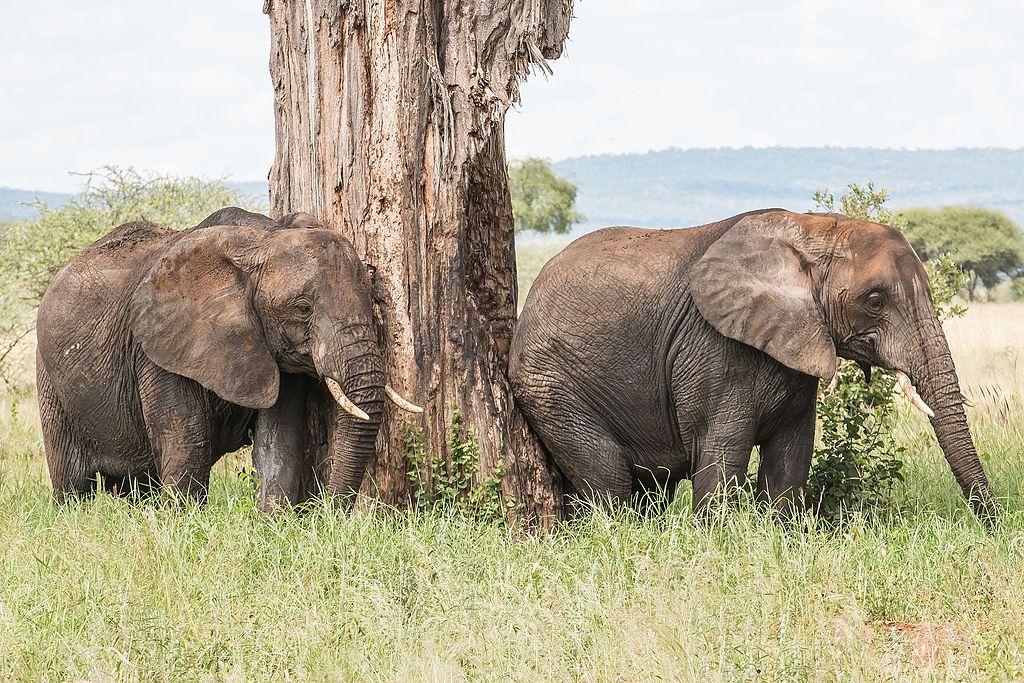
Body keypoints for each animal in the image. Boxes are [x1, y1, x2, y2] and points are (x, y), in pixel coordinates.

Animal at [36, 208, 419, 507]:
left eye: (374, 298)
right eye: (302, 308)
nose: (329, 515)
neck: (263, 237)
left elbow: (278, 440)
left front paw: (272, 526)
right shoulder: (158, 348)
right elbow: (188, 440)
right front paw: (185, 527)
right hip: (50, 377)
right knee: (72, 480)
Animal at [509, 208, 999, 518]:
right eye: (875, 301)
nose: (995, 528)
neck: (815, 230)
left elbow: (792, 455)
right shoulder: (712, 348)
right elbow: (722, 455)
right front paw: (718, 541)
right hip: (551, 385)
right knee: (609, 480)